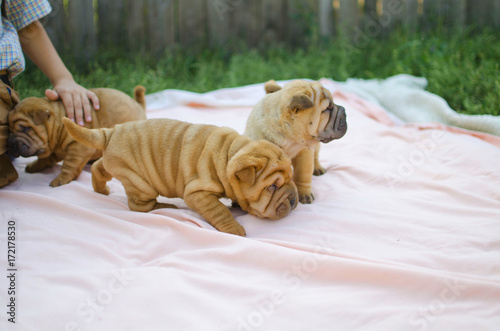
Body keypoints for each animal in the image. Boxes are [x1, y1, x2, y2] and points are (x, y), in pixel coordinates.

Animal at [8, 87, 146, 187]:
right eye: (9, 130)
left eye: (25, 128)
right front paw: (34, 165)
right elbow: (45, 158)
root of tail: (139, 105)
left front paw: (60, 179)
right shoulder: (54, 149)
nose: (12, 144)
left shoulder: (79, 148)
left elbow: (69, 165)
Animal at [62, 118, 296, 237]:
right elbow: (219, 211)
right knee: (139, 206)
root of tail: (110, 132)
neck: (229, 152)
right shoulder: (197, 193)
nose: (294, 199)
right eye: (272, 187)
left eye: (291, 178)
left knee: (99, 167)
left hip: (115, 162)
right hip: (140, 182)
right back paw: (165, 206)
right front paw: (235, 229)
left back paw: (100, 189)